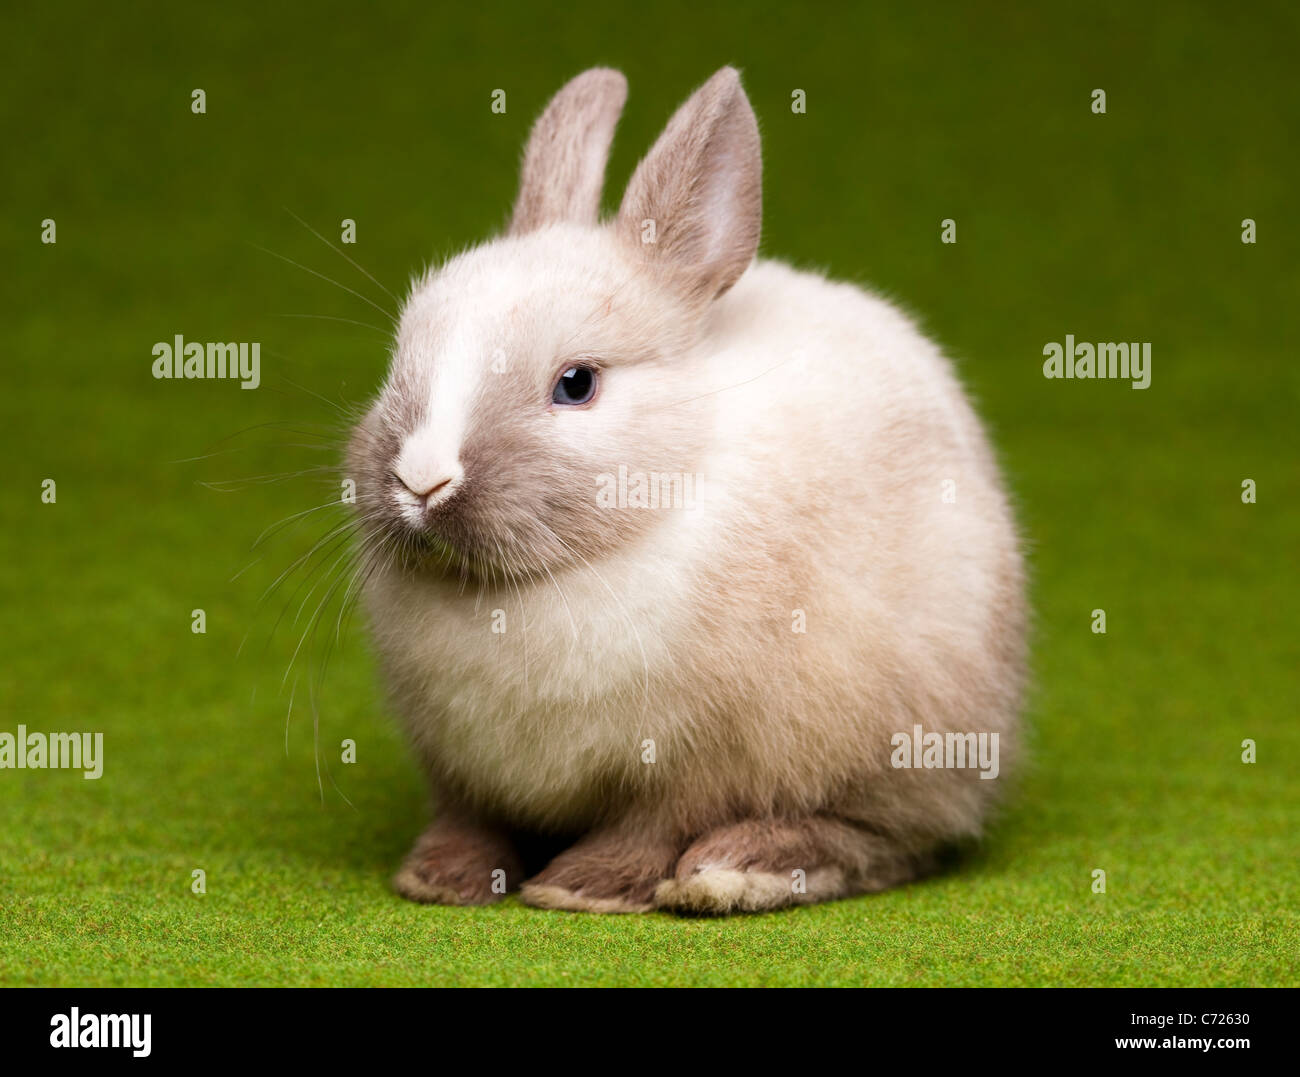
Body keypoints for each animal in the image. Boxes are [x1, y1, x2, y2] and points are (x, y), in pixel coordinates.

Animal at [345, 66, 1026, 915]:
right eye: (401, 357)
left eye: (576, 384)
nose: (421, 479)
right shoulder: (457, 766)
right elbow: (470, 819)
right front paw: (439, 877)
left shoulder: (696, 760)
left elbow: (651, 826)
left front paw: (582, 887)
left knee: (885, 842)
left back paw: (738, 867)